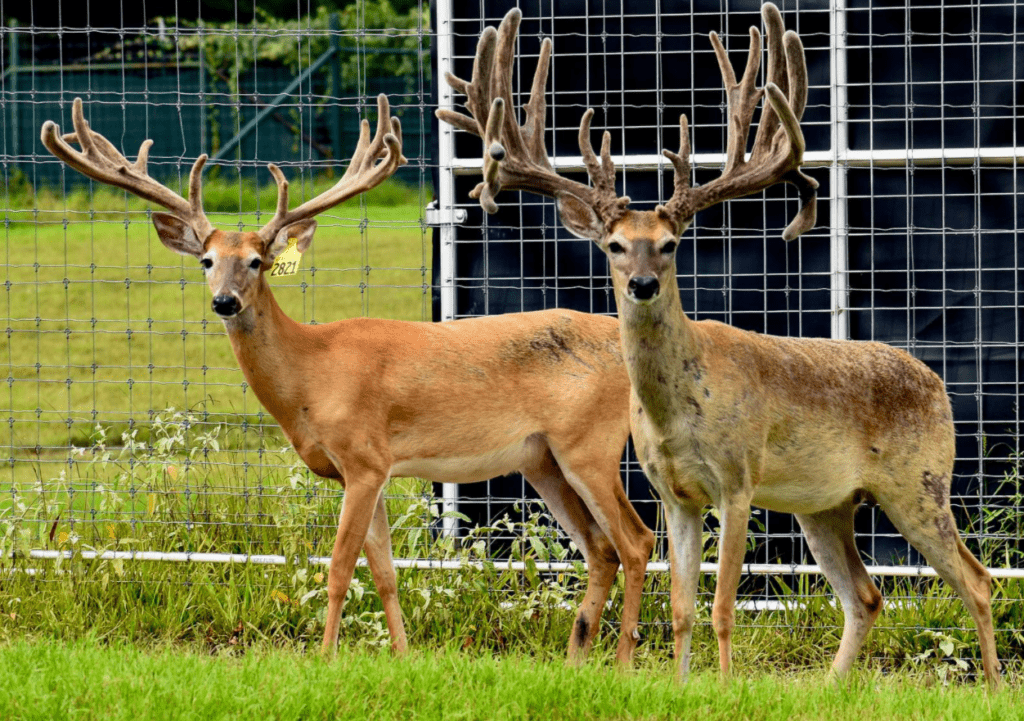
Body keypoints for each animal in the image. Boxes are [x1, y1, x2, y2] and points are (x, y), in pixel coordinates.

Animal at [41, 95, 655, 665]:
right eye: (206, 261)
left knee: (636, 539)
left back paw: (623, 661)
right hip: (541, 458)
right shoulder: (367, 471)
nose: (225, 301)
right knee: (599, 548)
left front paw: (325, 657)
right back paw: (577, 659)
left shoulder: (363, 458)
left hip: (590, 443)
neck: (311, 376)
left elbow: (338, 567)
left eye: (258, 261)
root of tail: (621, 342)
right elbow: (384, 572)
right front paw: (403, 657)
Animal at [438, 4, 1000, 686]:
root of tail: (936, 381)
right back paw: (830, 687)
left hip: (919, 480)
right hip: (826, 503)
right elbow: (681, 607)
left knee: (976, 580)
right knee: (866, 595)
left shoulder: (738, 480)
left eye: (671, 243)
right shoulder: (673, 493)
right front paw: (679, 687)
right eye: (614, 245)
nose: (643, 284)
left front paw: (727, 687)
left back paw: (994, 687)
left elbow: (723, 607)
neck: (679, 413)